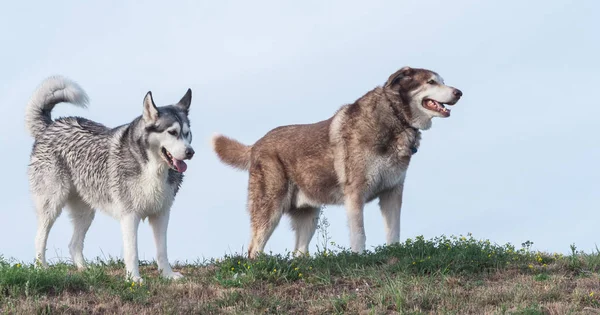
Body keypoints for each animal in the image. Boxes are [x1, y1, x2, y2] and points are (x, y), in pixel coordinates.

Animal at [213, 66, 462, 260]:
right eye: (431, 82)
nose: (459, 92)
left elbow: (394, 232)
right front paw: (359, 259)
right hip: (270, 209)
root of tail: (256, 145)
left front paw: (394, 254)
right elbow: (359, 234)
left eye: (443, 81)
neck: (395, 118)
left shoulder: (392, 192)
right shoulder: (355, 194)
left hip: (309, 216)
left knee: (298, 252)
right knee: (253, 249)